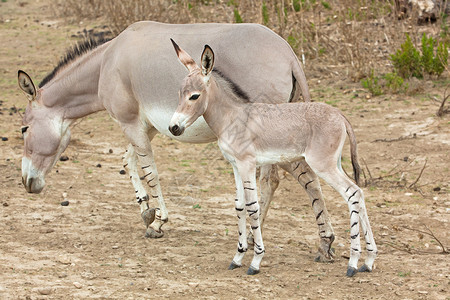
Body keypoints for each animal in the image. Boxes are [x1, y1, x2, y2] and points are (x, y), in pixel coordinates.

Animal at [167, 39, 374, 276]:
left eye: (194, 96)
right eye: (180, 94)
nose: (173, 128)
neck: (232, 117)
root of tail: (340, 114)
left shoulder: (247, 164)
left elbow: (253, 206)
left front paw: (256, 261)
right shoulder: (235, 166)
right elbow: (239, 206)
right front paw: (238, 257)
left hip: (323, 165)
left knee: (352, 193)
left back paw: (353, 263)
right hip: (335, 164)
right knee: (359, 194)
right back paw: (368, 261)